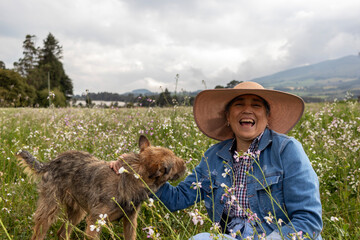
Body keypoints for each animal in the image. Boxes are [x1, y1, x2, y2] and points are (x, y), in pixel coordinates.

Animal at [16, 135, 186, 240]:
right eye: (172, 164)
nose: (185, 163)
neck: (129, 179)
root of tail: (51, 162)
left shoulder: (130, 221)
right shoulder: (94, 222)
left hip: (77, 212)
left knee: (62, 233)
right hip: (49, 210)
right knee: (39, 234)